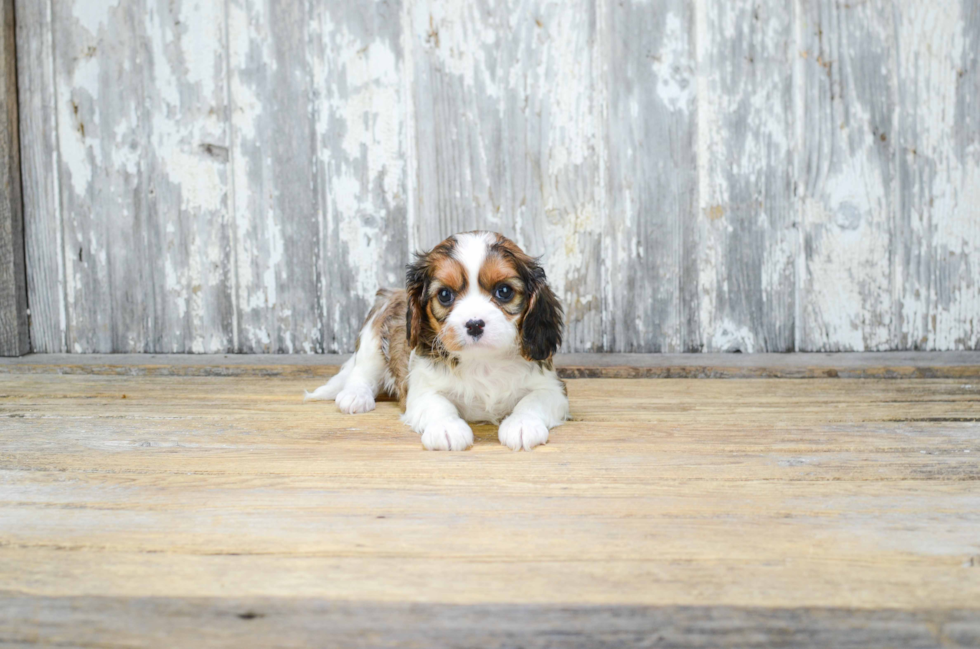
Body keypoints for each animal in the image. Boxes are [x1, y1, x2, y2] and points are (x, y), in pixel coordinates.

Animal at [304, 230, 568, 448]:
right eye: (444, 295)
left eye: (504, 291)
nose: (474, 324)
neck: (482, 361)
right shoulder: (422, 389)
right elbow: (438, 404)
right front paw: (447, 428)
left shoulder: (553, 388)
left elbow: (533, 401)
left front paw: (522, 424)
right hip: (373, 336)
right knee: (362, 372)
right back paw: (355, 396)